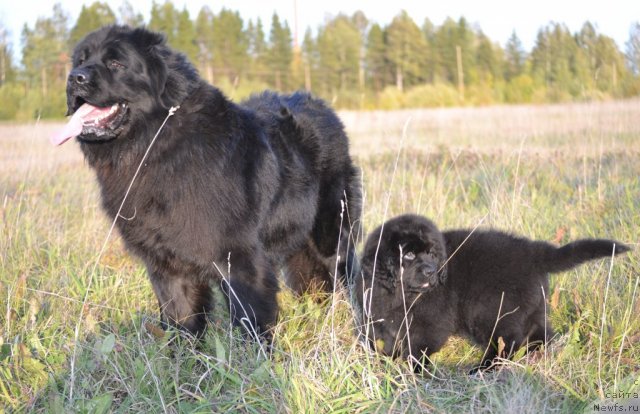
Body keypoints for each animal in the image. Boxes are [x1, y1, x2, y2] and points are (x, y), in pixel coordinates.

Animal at [52, 25, 362, 336]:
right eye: (81, 60)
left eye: (116, 63)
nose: (75, 77)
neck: (156, 145)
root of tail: (322, 106)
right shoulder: (167, 264)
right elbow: (180, 318)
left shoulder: (241, 259)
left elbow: (250, 318)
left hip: (332, 235)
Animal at [356, 215, 632, 370]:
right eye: (410, 254)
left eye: (433, 254)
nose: (432, 272)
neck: (400, 292)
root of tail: (534, 252)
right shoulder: (380, 314)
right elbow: (384, 338)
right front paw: (384, 358)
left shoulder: (431, 321)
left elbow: (419, 345)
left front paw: (413, 368)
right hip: (530, 307)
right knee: (539, 334)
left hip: (492, 310)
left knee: (506, 343)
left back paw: (483, 369)